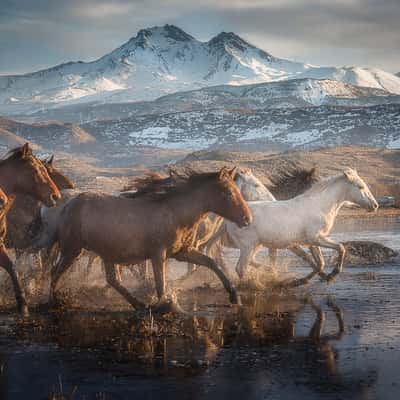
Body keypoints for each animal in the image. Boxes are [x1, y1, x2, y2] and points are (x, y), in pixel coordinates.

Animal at [48, 167, 252, 310]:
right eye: (228, 193)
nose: (247, 219)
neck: (175, 213)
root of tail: (68, 205)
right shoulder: (158, 255)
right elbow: (160, 283)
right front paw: (167, 305)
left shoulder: (182, 252)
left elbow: (211, 263)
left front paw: (234, 296)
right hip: (73, 250)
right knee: (55, 272)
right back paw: (54, 301)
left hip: (107, 253)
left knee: (114, 280)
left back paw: (139, 304)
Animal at [223, 168, 380, 284]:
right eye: (360, 187)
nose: (375, 205)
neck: (319, 206)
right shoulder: (317, 238)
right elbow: (340, 248)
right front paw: (334, 273)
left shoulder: (313, 242)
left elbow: (319, 263)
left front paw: (305, 280)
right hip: (247, 246)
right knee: (240, 268)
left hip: (256, 245)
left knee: (249, 263)